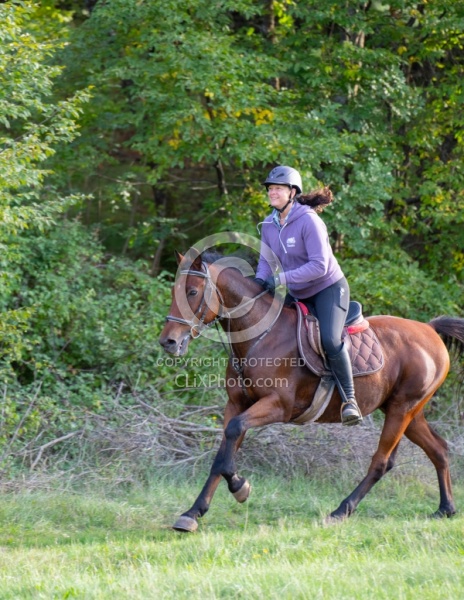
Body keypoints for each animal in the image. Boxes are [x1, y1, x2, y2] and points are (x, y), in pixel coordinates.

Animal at [159, 251, 464, 532]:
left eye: (192, 292)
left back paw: (341, 510)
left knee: (381, 462)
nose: (168, 342)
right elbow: (222, 453)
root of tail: (429, 329)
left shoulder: (278, 405)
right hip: (407, 411)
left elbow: (232, 436)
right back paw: (446, 508)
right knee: (438, 449)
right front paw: (194, 512)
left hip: (402, 409)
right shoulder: (236, 405)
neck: (260, 337)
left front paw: (239, 486)